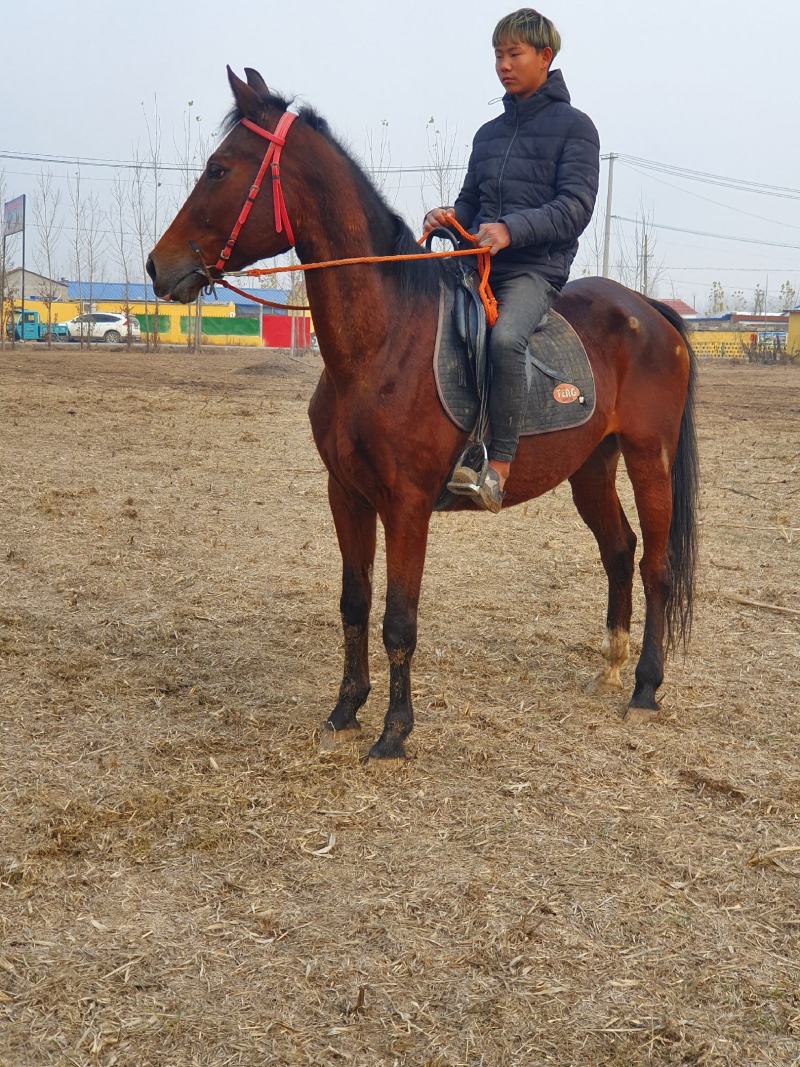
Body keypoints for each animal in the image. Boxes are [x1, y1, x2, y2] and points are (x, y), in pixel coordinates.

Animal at [147, 67, 698, 760]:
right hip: (591, 465)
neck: (382, 343)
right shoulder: (347, 494)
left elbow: (399, 620)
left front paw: (394, 731)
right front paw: (345, 709)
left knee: (655, 565)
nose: (157, 266)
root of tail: (650, 310)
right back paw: (612, 669)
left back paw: (645, 688)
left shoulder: (406, 505)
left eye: (219, 169)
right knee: (620, 550)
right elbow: (354, 603)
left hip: (649, 457)